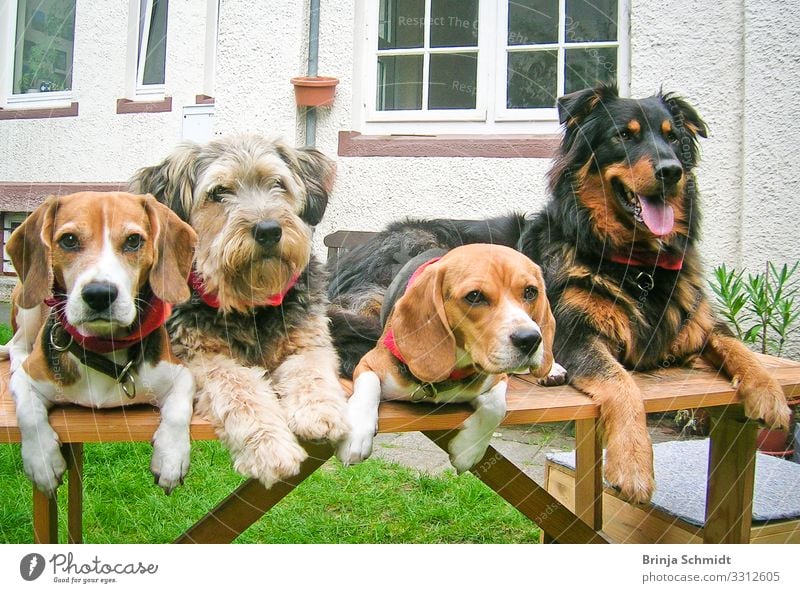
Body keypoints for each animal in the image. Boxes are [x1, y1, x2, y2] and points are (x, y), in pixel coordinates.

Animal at [328, 82, 792, 500]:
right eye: (624, 136)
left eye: (673, 137)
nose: (670, 171)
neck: (636, 265)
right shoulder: (579, 333)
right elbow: (623, 384)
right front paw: (632, 463)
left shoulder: (693, 324)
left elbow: (738, 347)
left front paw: (771, 397)